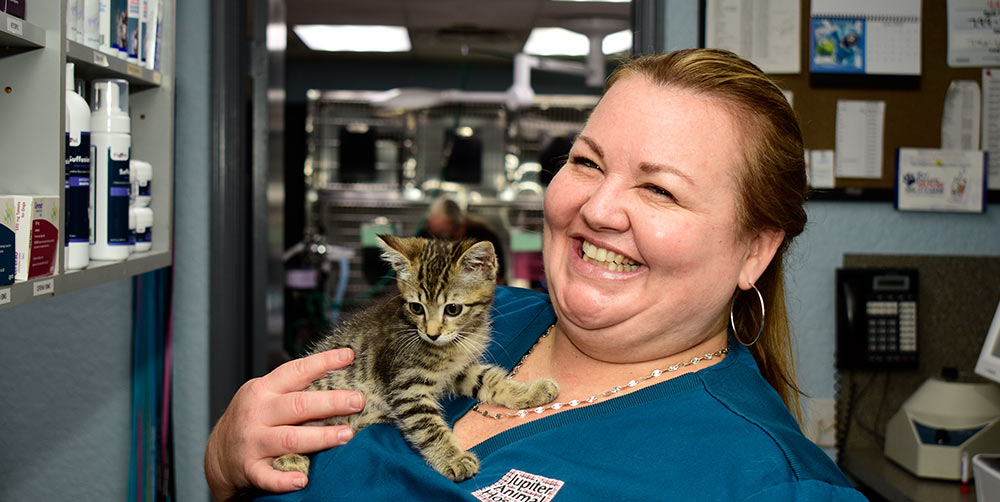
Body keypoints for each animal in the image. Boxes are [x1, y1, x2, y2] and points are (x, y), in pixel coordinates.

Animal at [270, 235, 560, 482]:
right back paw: (290, 459)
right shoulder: (407, 386)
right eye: (416, 307)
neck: (454, 344)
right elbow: (428, 427)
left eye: (452, 309)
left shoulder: (459, 371)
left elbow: (489, 379)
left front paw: (530, 391)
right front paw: (453, 458)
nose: (431, 334)